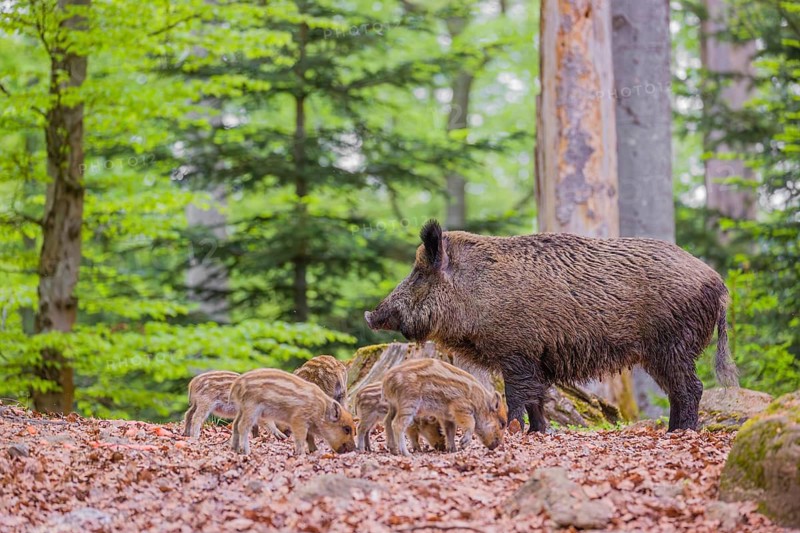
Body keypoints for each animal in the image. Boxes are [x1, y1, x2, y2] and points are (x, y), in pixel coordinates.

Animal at [365, 220, 739, 433]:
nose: (371, 315)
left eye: (419, 273)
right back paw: (672, 431)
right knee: (678, 390)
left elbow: (517, 396)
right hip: (660, 353)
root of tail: (719, 283)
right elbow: (538, 399)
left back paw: (682, 433)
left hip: (673, 345)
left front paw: (514, 430)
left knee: (692, 388)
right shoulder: (536, 359)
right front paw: (539, 433)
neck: (477, 290)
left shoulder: (517, 353)